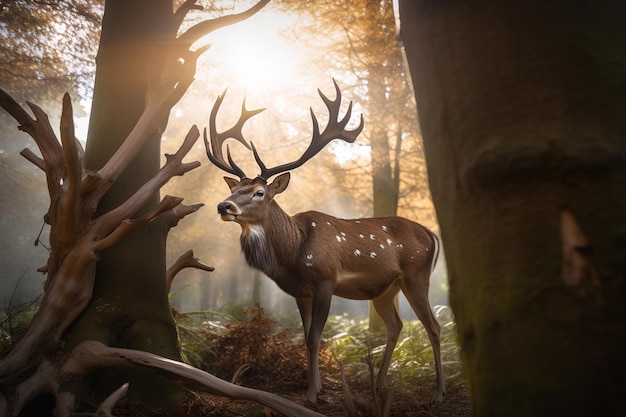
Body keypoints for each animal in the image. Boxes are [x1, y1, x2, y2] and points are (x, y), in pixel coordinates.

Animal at [205, 79, 444, 404]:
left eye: (259, 192)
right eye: (234, 189)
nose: (223, 206)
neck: (293, 254)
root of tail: (433, 235)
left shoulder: (325, 280)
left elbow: (315, 337)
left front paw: (312, 395)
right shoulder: (300, 292)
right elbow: (305, 337)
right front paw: (315, 388)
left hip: (416, 275)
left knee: (434, 326)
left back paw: (438, 394)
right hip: (385, 289)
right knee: (396, 325)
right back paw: (379, 386)